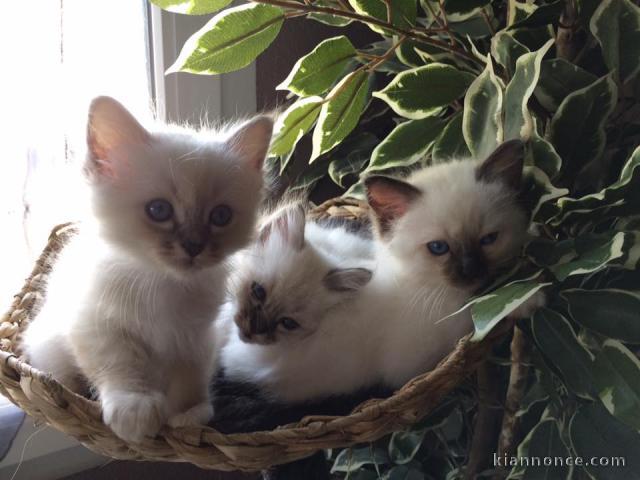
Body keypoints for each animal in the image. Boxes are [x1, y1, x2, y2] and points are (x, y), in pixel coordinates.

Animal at [22, 97, 272, 442]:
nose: (193, 246)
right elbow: (121, 363)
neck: (164, 285)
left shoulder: (195, 336)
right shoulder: (94, 323)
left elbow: (190, 376)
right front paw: (135, 409)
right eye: (159, 210)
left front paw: (189, 414)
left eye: (220, 216)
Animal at [220, 140, 536, 402]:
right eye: (438, 248)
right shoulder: (414, 360)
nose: (472, 271)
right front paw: (526, 301)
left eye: (488, 240)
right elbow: (474, 317)